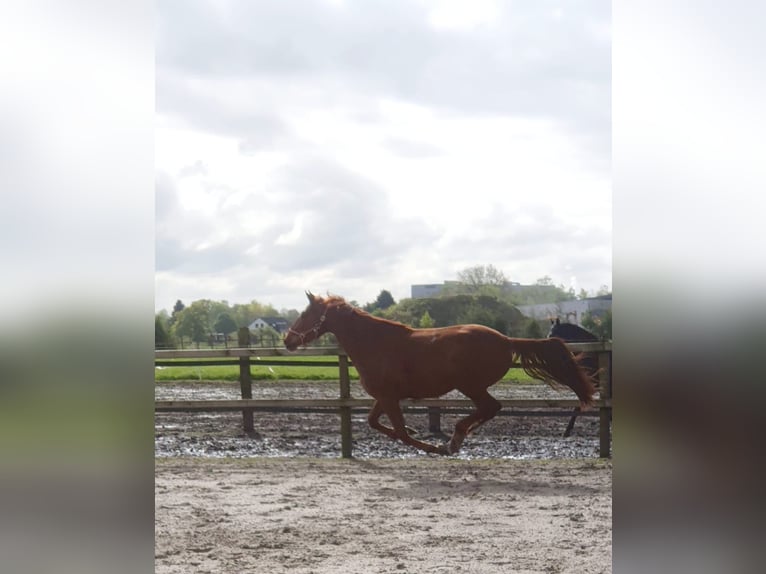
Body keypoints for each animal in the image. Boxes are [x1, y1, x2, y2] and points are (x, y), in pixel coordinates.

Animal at [284, 294, 596, 456]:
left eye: (305, 313)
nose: (288, 340)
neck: (375, 343)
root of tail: (507, 340)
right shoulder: (385, 396)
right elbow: (375, 423)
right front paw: (418, 433)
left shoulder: (389, 397)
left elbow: (401, 434)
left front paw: (433, 445)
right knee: (489, 409)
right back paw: (461, 435)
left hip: (470, 385)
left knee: (491, 407)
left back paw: (455, 438)